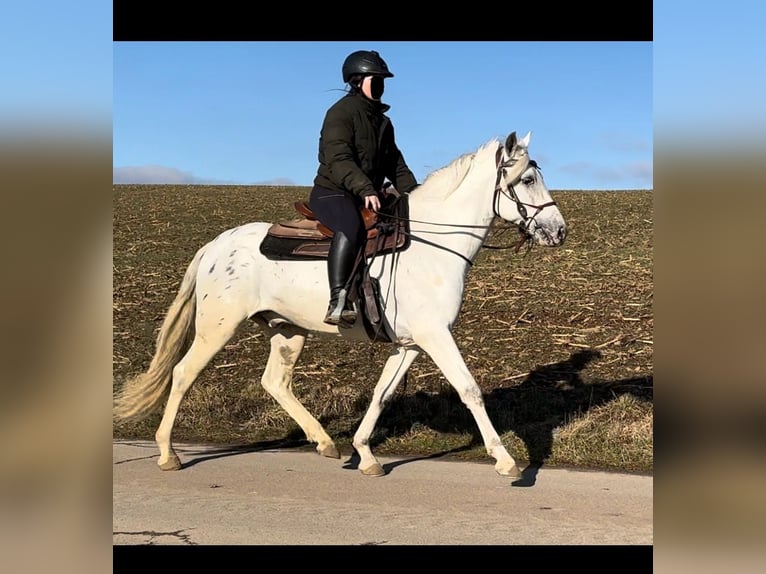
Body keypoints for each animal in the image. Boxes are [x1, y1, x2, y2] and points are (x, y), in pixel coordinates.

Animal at [115, 133, 568, 480]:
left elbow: (382, 394)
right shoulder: (435, 336)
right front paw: (506, 460)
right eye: (528, 178)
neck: (432, 247)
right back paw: (167, 453)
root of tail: (216, 245)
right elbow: (469, 389)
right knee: (182, 374)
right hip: (218, 327)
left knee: (275, 382)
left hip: (288, 330)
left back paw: (324, 441)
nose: (559, 231)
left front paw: (365, 454)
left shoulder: (410, 344)